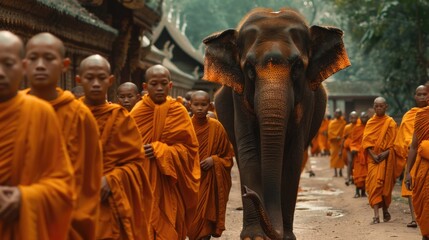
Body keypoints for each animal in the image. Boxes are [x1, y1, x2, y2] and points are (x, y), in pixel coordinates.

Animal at [202, 8, 350, 239]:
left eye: (298, 67)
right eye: (249, 69)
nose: (249, 192)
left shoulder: (306, 100)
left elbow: (293, 156)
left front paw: (287, 237)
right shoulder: (239, 98)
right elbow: (249, 152)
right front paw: (254, 236)